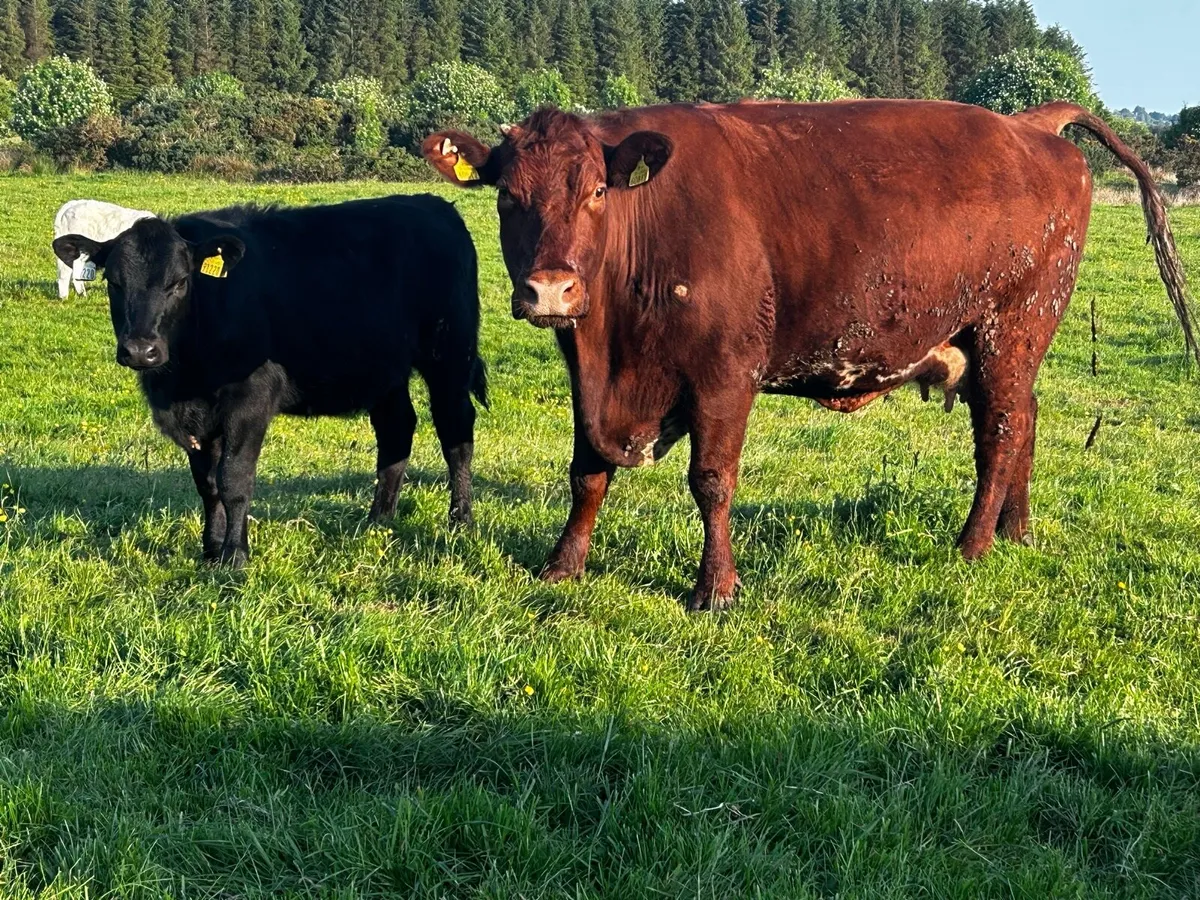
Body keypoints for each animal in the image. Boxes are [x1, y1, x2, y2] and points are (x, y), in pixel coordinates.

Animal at [52, 195, 487, 568]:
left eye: (179, 282)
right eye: (114, 282)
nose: (141, 350)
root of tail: (434, 205)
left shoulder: (250, 399)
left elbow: (233, 479)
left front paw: (235, 557)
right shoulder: (196, 416)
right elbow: (207, 484)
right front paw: (210, 550)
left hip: (450, 356)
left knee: (455, 434)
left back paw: (460, 520)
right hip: (385, 370)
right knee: (397, 429)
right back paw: (378, 518)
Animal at [422, 99, 1197, 610]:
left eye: (595, 192)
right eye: (507, 197)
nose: (551, 289)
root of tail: (1029, 124)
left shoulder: (725, 374)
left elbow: (712, 481)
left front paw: (715, 589)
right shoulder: (590, 376)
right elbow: (587, 472)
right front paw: (563, 566)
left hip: (1014, 325)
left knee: (1001, 434)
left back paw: (974, 543)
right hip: (1003, 342)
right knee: (1025, 420)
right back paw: (1017, 533)